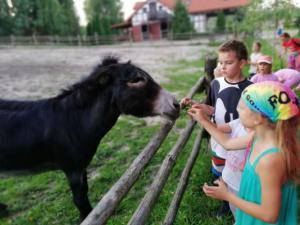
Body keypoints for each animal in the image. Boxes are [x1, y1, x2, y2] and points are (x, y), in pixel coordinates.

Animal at [0, 55, 178, 220]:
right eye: (137, 80)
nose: (176, 104)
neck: (72, 122)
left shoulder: (81, 167)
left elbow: (85, 193)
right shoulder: (72, 170)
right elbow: (80, 200)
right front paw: (85, 217)